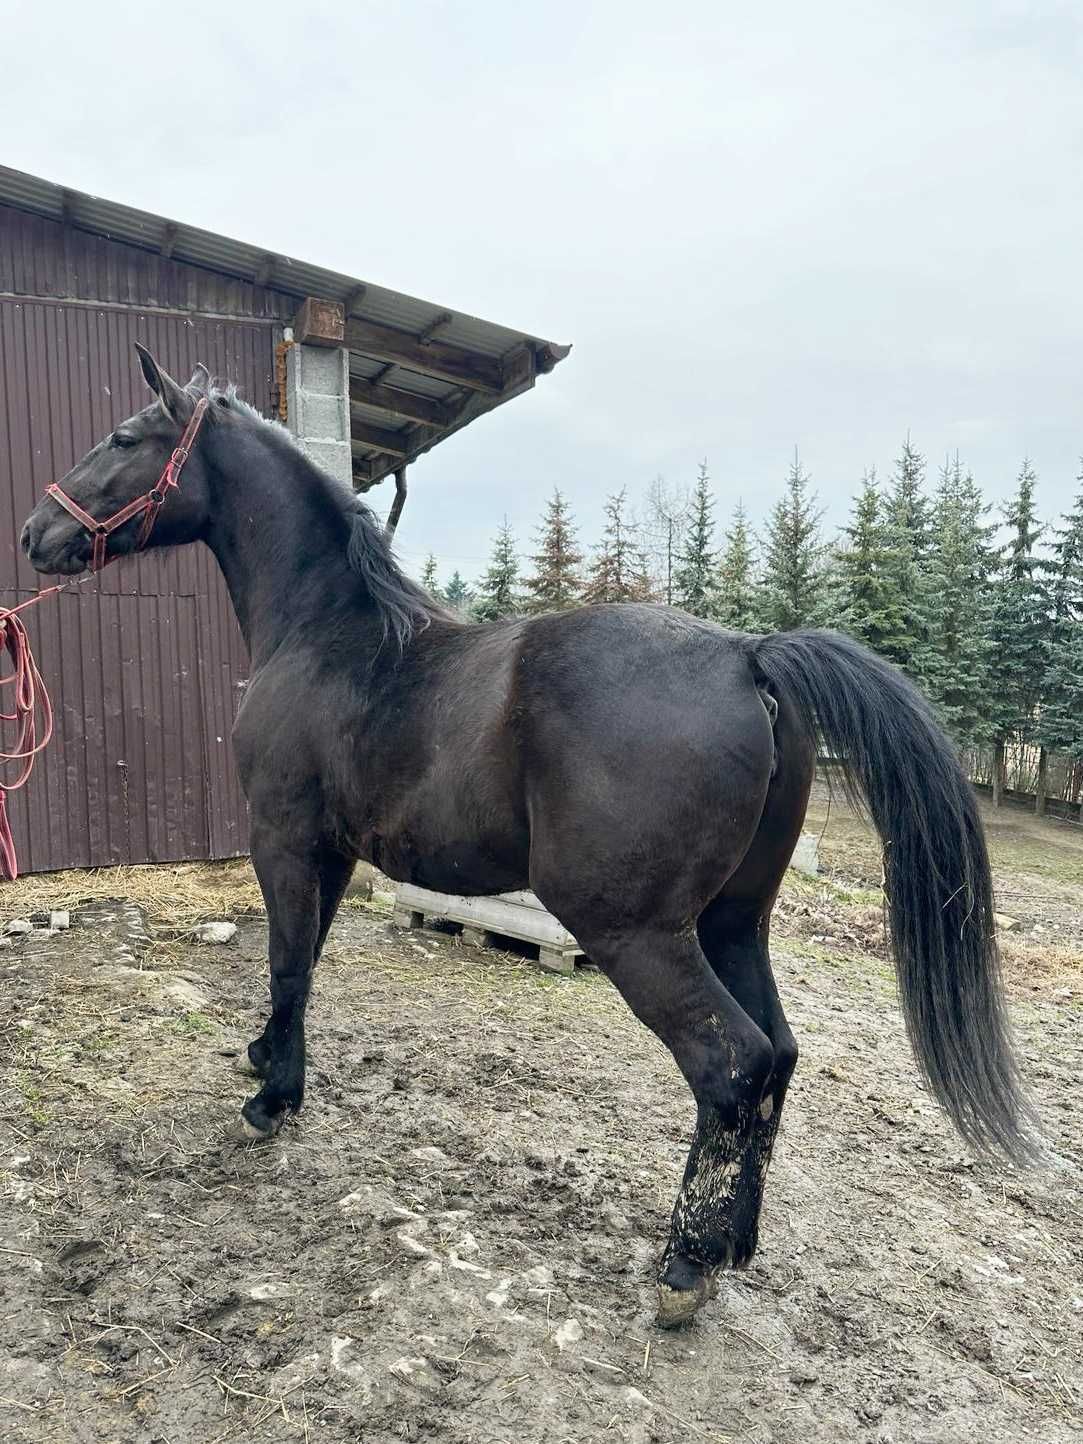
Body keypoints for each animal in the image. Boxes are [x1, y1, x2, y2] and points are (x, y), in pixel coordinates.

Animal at [19, 346, 1033, 1322]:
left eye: (122, 437)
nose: (36, 532)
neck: (334, 636)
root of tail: (748, 656)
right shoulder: (333, 853)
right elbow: (304, 963)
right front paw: (273, 1064)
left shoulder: (285, 840)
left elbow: (284, 960)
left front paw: (271, 1100)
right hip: (732, 923)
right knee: (777, 1056)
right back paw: (733, 1245)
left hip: (636, 934)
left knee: (733, 1065)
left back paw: (683, 1267)